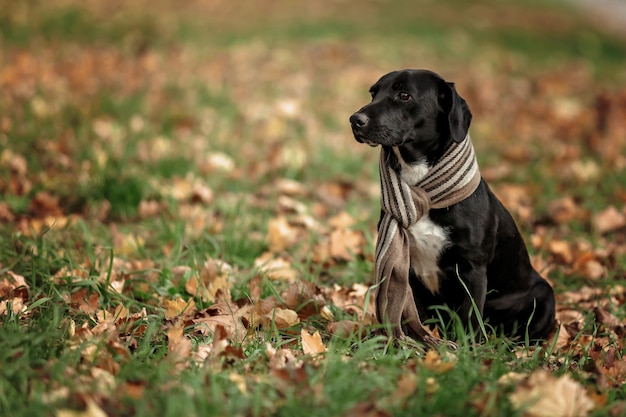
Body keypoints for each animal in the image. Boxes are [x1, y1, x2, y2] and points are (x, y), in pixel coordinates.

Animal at [348, 68, 552, 342]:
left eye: (404, 95)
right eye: (373, 93)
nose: (354, 120)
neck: (423, 190)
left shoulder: (472, 271)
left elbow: (468, 317)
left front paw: (464, 349)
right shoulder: (410, 271)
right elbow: (417, 318)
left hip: (544, 295)